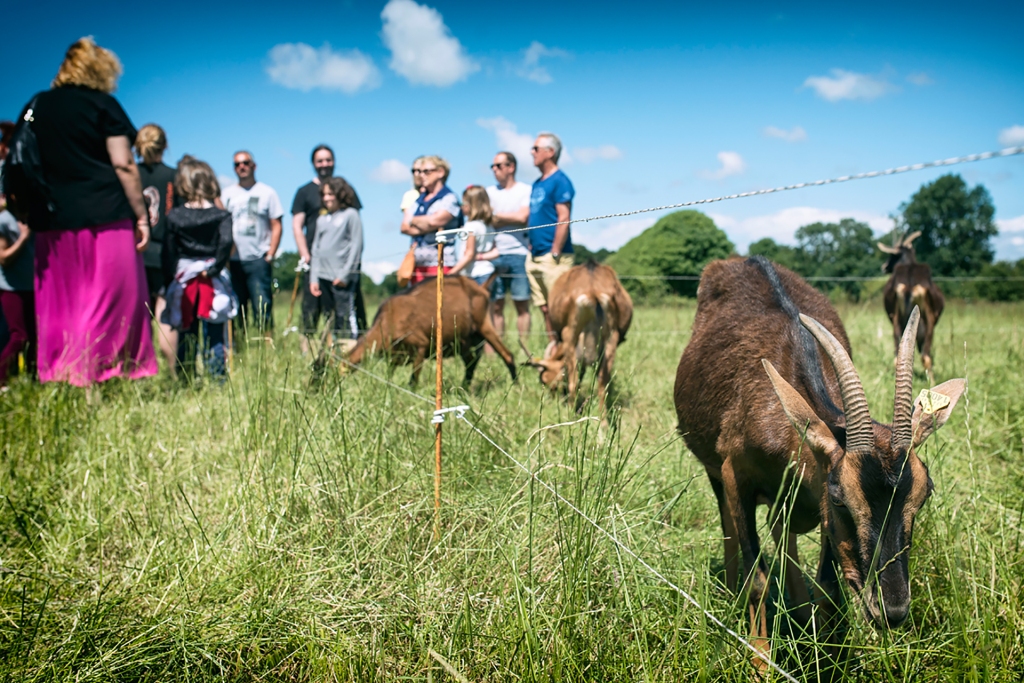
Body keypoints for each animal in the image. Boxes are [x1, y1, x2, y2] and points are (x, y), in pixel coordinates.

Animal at [345, 274, 517, 386]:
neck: (389, 321)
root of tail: (481, 288)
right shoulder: (394, 356)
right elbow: (389, 378)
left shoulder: (421, 345)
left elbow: (413, 380)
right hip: (465, 340)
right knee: (471, 362)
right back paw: (464, 388)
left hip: (483, 325)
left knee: (507, 354)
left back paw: (515, 385)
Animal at [520, 261, 633, 414]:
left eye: (544, 380)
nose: (552, 397)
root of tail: (592, 291)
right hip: (610, 339)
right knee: (602, 383)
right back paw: (602, 419)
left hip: (570, 335)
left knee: (574, 381)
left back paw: (570, 414)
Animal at [674, 256, 965, 674]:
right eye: (841, 497)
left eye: (924, 494)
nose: (892, 609)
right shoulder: (737, 475)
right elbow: (758, 577)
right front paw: (761, 663)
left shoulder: (817, 502)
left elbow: (829, 586)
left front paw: (829, 658)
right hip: (717, 474)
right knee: (732, 529)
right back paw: (734, 593)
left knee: (783, 532)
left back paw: (798, 607)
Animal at [879, 231, 944, 381]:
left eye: (892, 256)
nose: (884, 267)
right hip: (927, 320)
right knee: (926, 356)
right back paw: (931, 381)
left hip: (898, 320)